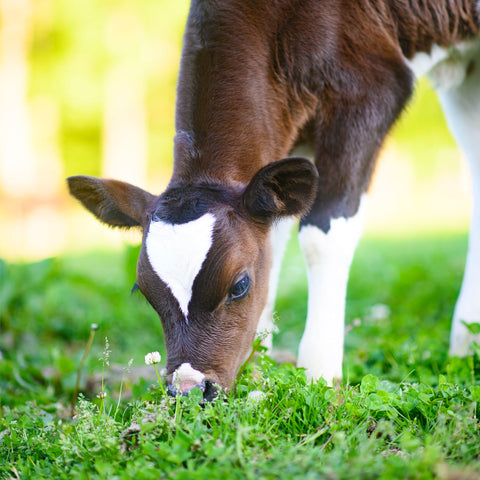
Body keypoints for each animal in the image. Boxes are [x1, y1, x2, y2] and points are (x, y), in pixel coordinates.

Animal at [68, 0, 480, 398]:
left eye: (239, 286)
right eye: (143, 291)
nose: (187, 389)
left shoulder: (370, 89)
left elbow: (322, 235)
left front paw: (318, 376)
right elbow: (275, 238)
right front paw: (259, 370)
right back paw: (466, 341)